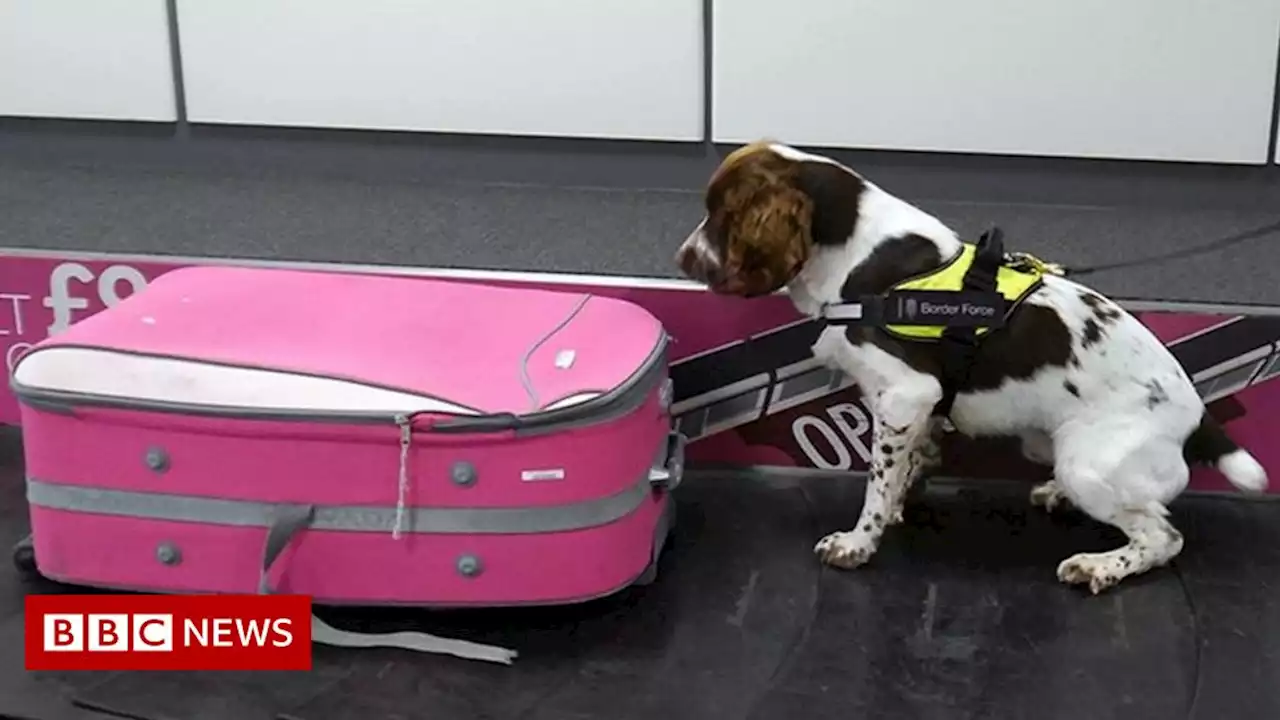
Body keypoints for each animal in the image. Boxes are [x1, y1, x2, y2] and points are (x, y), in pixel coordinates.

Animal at [675, 140, 1264, 594]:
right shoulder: (920, 406)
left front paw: (858, 542)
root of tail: (1199, 419)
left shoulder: (904, 395)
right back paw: (1057, 495)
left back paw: (1098, 567)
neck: (856, 255)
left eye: (722, 214)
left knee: (1163, 536)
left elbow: (877, 481)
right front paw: (895, 508)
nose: (680, 258)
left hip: (1088, 461)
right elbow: (905, 467)